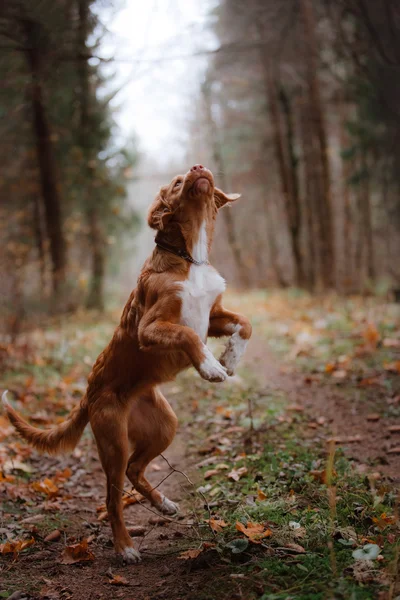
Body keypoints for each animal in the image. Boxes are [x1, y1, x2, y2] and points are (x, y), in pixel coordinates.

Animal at [3, 164, 252, 564]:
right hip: (114, 442)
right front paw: (211, 366)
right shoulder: (149, 328)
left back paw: (163, 504)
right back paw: (124, 547)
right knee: (112, 498)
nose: (199, 168)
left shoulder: (213, 315)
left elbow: (244, 322)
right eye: (178, 182)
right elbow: (189, 336)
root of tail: (88, 395)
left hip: (164, 425)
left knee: (137, 469)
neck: (189, 259)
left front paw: (230, 357)